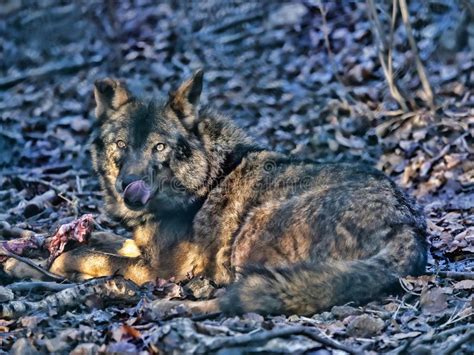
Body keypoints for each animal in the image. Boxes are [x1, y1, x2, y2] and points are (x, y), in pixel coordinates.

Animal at [50, 71, 428, 316]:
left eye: (159, 147)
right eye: (121, 145)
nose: (129, 189)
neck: (205, 179)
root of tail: (407, 226)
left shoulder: (157, 266)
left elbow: (89, 257)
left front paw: (55, 262)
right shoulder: (141, 244)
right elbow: (105, 242)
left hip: (251, 231)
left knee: (244, 295)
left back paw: (172, 306)